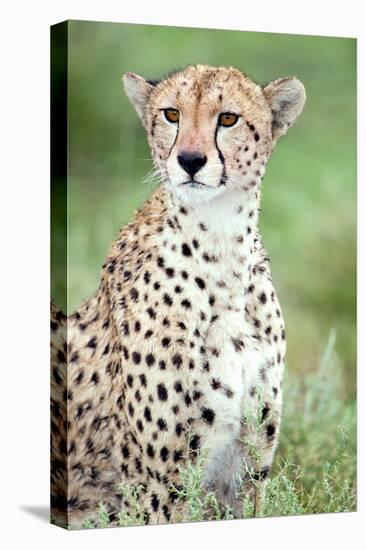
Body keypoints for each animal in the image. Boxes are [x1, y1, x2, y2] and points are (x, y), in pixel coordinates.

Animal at [50, 64, 304, 532]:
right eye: (172, 114)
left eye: (228, 119)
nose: (190, 160)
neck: (220, 248)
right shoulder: (166, 485)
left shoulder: (248, 467)